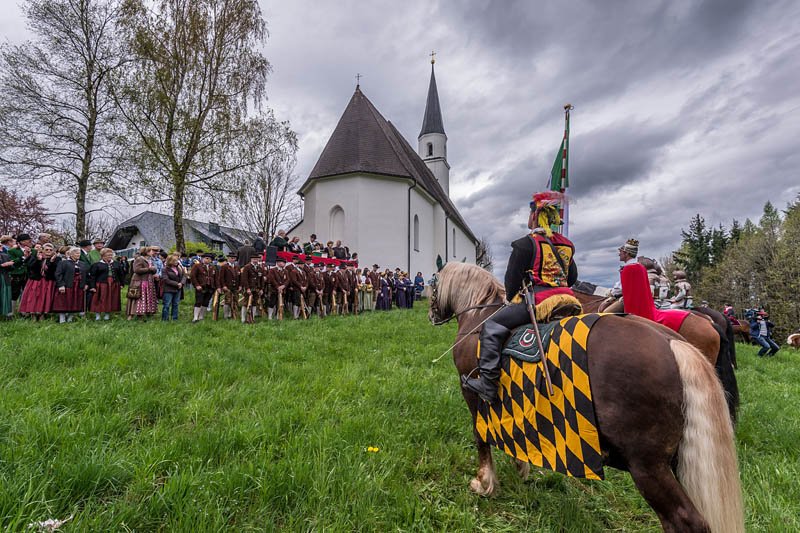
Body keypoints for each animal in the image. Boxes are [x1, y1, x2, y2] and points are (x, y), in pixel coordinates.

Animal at [432, 262, 744, 532]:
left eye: (433, 284)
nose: (432, 314)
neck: (479, 316)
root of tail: (673, 343)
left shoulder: (472, 392)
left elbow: (481, 435)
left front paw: (484, 481)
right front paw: (520, 464)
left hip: (648, 466)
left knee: (684, 520)